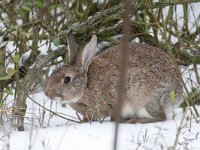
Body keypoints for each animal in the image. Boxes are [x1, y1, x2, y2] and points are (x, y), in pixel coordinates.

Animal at [45, 30, 183, 123]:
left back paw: (136, 121)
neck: (85, 86)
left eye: (67, 79)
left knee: (161, 116)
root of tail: (177, 93)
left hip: (141, 97)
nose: (47, 93)